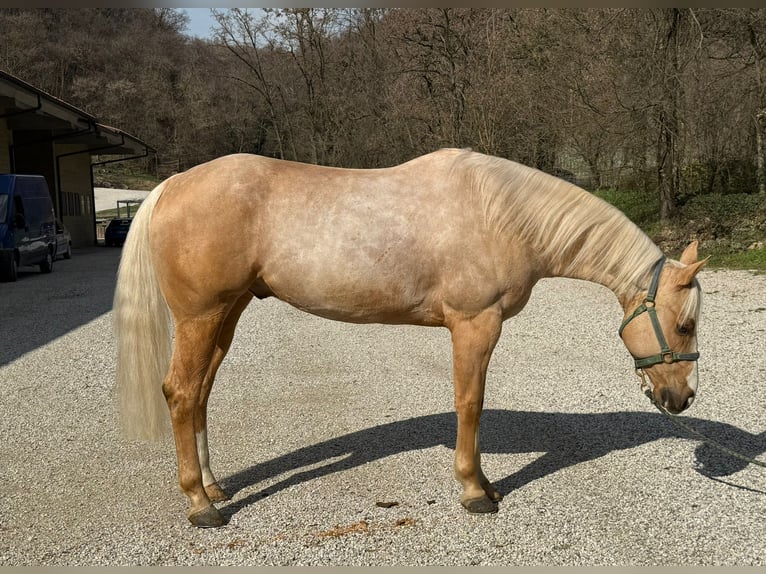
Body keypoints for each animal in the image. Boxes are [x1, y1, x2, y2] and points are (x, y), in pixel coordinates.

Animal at [113, 148, 707, 528]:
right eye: (686, 323)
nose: (682, 397)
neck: (502, 215)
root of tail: (170, 185)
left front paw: (482, 484)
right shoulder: (475, 324)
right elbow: (470, 403)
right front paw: (475, 491)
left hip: (226, 315)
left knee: (200, 395)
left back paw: (213, 485)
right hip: (201, 315)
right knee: (181, 392)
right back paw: (201, 505)